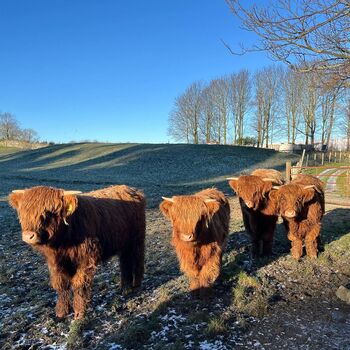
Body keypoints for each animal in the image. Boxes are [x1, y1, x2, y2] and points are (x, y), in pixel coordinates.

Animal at [8, 186, 145, 320]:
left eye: (48, 213)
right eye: (24, 212)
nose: (28, 236)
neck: (62, 242)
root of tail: (131, 189)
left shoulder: (87, 258)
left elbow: (79, 284)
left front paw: (79, 312)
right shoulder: (55, 262)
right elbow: (61, 283)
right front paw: (61, 312)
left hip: (137, 239)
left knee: (138, 258)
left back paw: (136, 284)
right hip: (124, 243)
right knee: (125, 261)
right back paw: (125, 288)